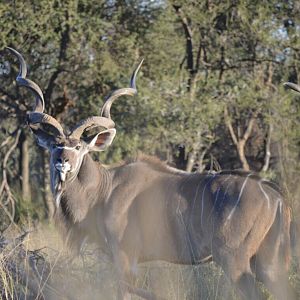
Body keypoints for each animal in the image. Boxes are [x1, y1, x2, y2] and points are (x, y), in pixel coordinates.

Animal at [8, 47, 294, 300]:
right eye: (55, 145)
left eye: (78, 147)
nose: (62, 160)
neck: (103, 189)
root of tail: (276, 196)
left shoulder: (124, 256)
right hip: (267, 263)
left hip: (234, 260)